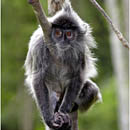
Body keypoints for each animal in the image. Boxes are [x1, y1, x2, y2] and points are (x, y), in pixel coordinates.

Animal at [24, 1, 101, 130]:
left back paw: (72, 107)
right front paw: (49, 119)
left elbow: (78, 77)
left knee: (91, 89)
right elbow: (38, 78)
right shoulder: (40, 45)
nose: (63, 41)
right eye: (58, 33)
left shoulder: (80, 50)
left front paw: (63, 112)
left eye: (69, 34)